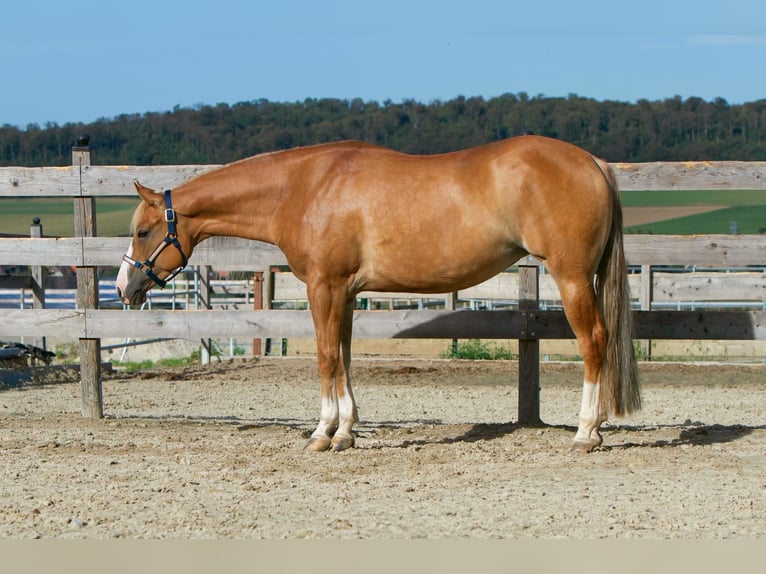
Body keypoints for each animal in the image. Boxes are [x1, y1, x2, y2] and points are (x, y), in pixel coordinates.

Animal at [115, 135, 641, 453]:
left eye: (142, 231)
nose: (124, 287)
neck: (304, 188)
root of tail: (593, 163)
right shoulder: (346, 293)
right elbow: (345, 357)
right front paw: (346, 431)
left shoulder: (323, 286)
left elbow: (326, 357)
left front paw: (321, 434)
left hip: (571, 278)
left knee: (594, 342)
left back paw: (586, 432)